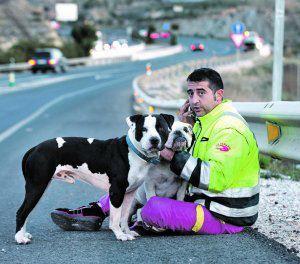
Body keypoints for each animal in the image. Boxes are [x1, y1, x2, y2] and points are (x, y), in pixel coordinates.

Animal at [15, 113, 175, 243]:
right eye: (144, 129)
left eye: (161, 128)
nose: (154, 140)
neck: (133, 152)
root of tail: (34, 148)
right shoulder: (116, 192)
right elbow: (116, 217)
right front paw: (119, 235)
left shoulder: (130, 193)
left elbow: (124, 216)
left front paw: (127, 232)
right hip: (37, 186)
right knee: (21, 212)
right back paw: (19, 238)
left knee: (26, 212)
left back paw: (23, 234)